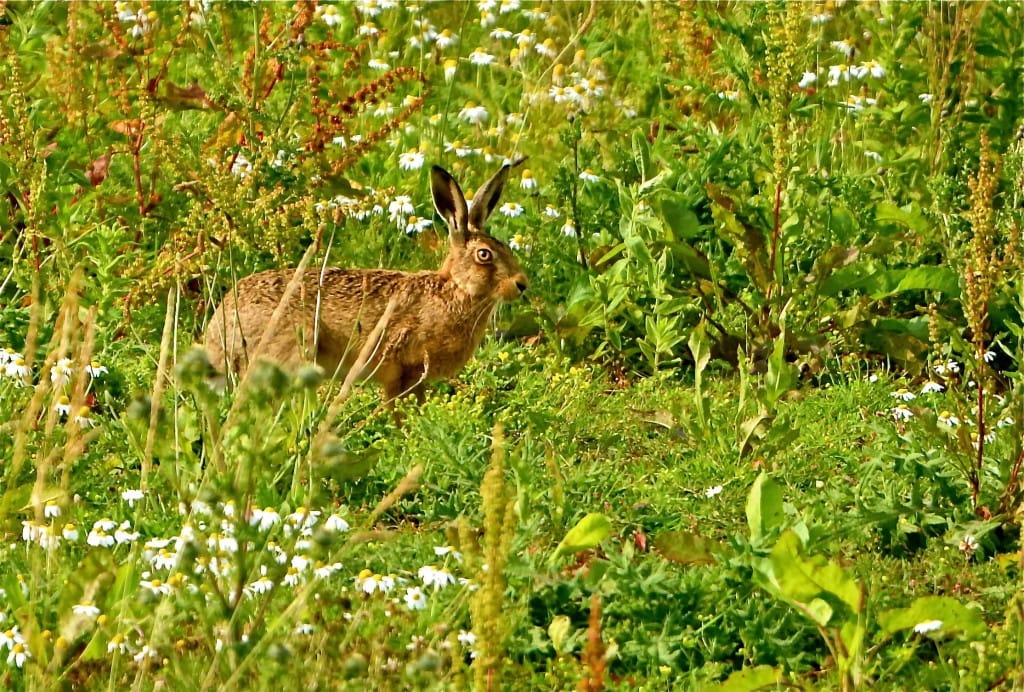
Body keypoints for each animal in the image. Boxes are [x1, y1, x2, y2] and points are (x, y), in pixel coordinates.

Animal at [203, 159, 529, 407]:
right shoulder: (405, 372)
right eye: (484, 255)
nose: (522, 284)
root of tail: (218, 334)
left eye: (506, 248)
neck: (456, 291)